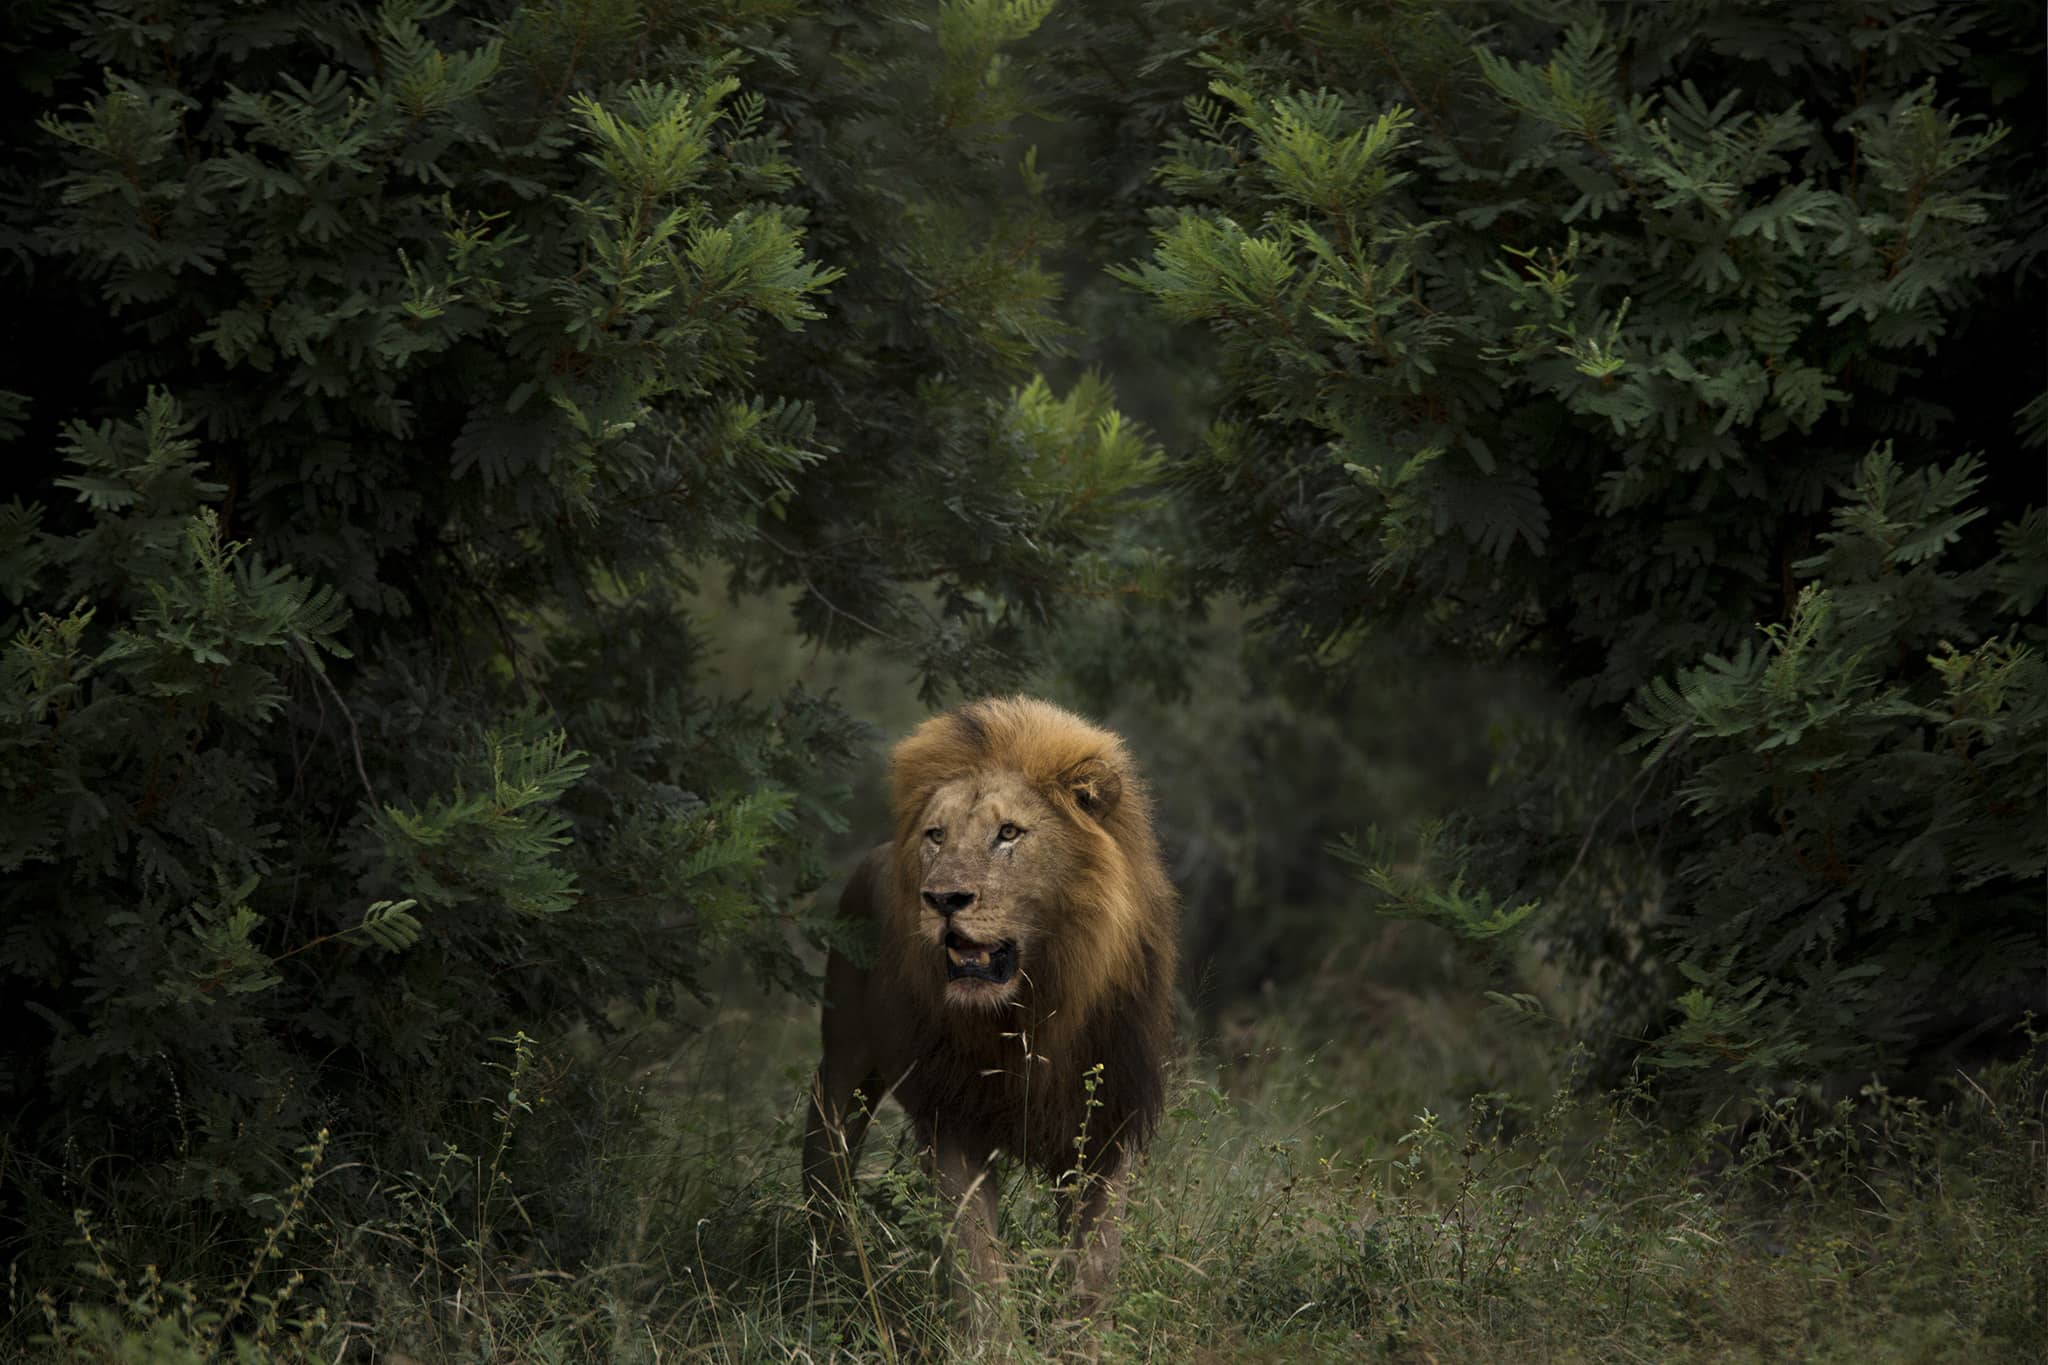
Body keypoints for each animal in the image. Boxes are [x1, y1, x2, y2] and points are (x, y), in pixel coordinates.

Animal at [802, 695, 1179, 1326]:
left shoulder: (1107, 1123)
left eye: (1008, 834)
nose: (943, 900)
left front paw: (1080, 1339)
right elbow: (977, 1265)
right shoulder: (954, 1121)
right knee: (826, 1167)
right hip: (844, 1067)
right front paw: (991, 1339)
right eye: (936, 835)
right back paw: (826, 1277)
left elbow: (1093, 1271)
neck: (1032, 1010)